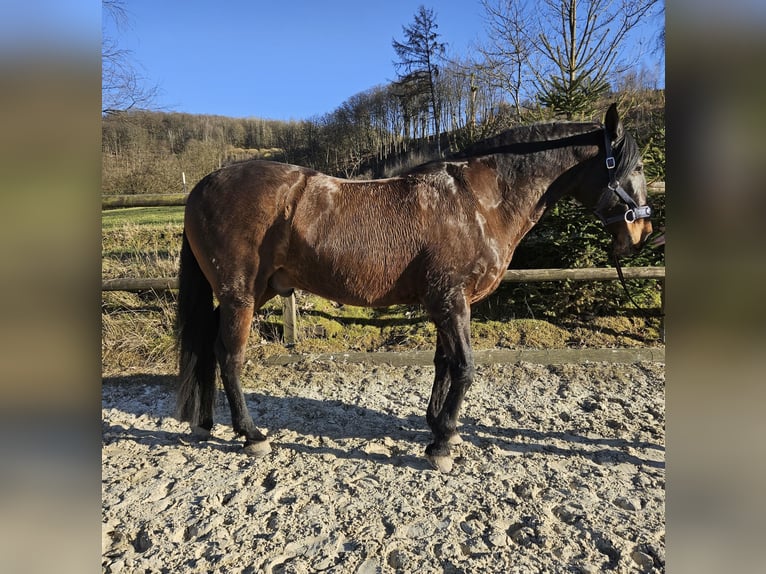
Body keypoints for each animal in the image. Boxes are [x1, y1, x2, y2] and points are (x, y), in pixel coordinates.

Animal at [176, 103, 656, 472]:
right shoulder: (451, 301)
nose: (641, 233)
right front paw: (441, 447)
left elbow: (444, 364)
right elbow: (464, 368)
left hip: (256, 293)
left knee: (210, 346)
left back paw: (207, 423)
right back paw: (251, 435)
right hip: (241, 295)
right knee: (230, 357)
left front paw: (441, 428)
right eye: (635, 167)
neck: (476, 202)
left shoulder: (449, 303)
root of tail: (202, 186)